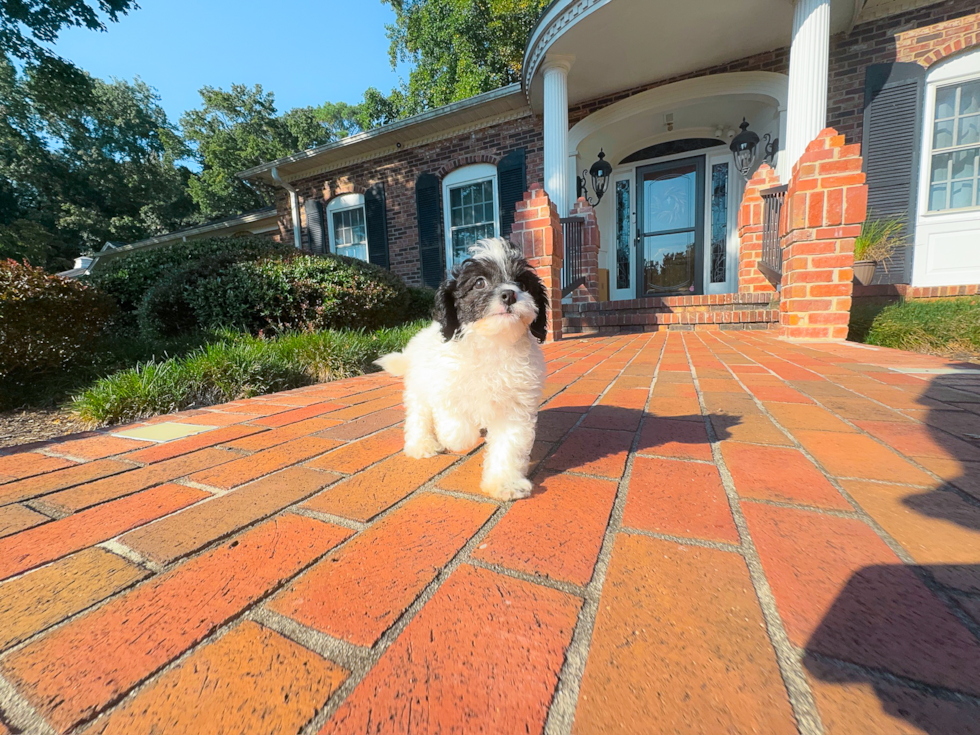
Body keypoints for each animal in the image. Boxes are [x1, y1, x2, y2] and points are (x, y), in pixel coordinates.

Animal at [376, 239, 548, 504]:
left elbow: (509, 444)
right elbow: (454, 424)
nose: (509, 294)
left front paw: (505, 483)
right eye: (479, 282)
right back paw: (422, 445)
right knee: (418, 418)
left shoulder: (515, 407)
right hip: (418, 390)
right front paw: (456, 439)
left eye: (522, 284)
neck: (492, 343)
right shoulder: (444, 386)